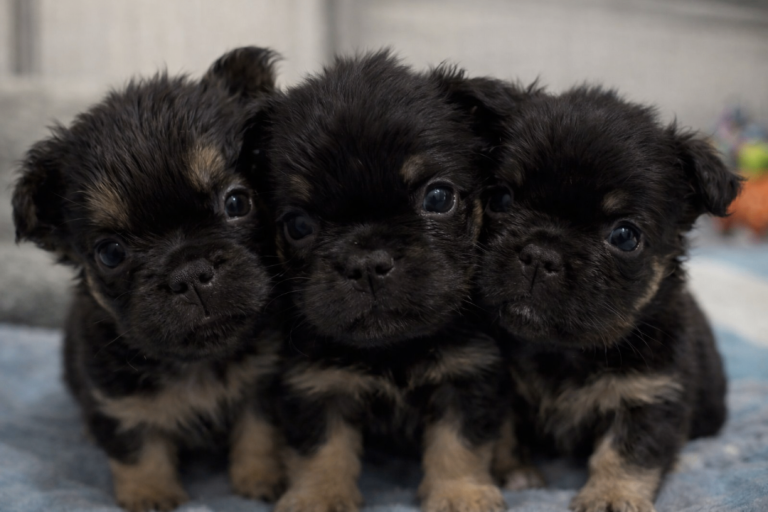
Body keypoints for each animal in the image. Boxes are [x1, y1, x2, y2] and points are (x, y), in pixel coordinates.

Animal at [12, 47, 284, 512]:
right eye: (110, 253)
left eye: (237, 203)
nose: (190, 274)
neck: (196, 363)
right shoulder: (117, 398)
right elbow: (138, 447)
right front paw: (151, 495)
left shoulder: (263, 382)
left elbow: (258, 432)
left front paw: (259, 480)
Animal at [246, 51, 532, 512]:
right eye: (298, 225)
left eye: (438, 198)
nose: (367, 263)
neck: (392, 350)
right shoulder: (315, 384)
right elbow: (321, 449)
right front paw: (319, 496)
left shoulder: (467, 375)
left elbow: (459, 444)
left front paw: (460, 493)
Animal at [477, 86, 741, 512]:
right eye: (500, 198)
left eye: (624, 236)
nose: (541, 255)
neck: (562, 353)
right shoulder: (502, 384)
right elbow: (503, 433)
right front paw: (514, 472)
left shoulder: (651, 396)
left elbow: (627, 452)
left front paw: (611, 496)